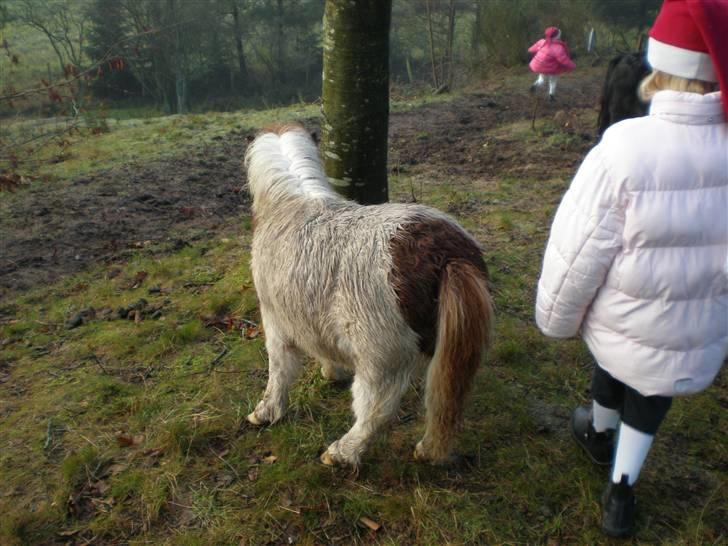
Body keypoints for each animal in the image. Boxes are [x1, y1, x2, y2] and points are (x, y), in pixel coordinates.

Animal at [246, 124, 494, 468]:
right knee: (445, 403)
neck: (292, 204)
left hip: (380, 362)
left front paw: (267, 412)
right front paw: (332, 372)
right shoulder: (309, 314)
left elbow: (279, 371)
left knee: (376, 411)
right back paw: (429, 450)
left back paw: (341, 452)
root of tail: (449, 256)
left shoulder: (276, 320)